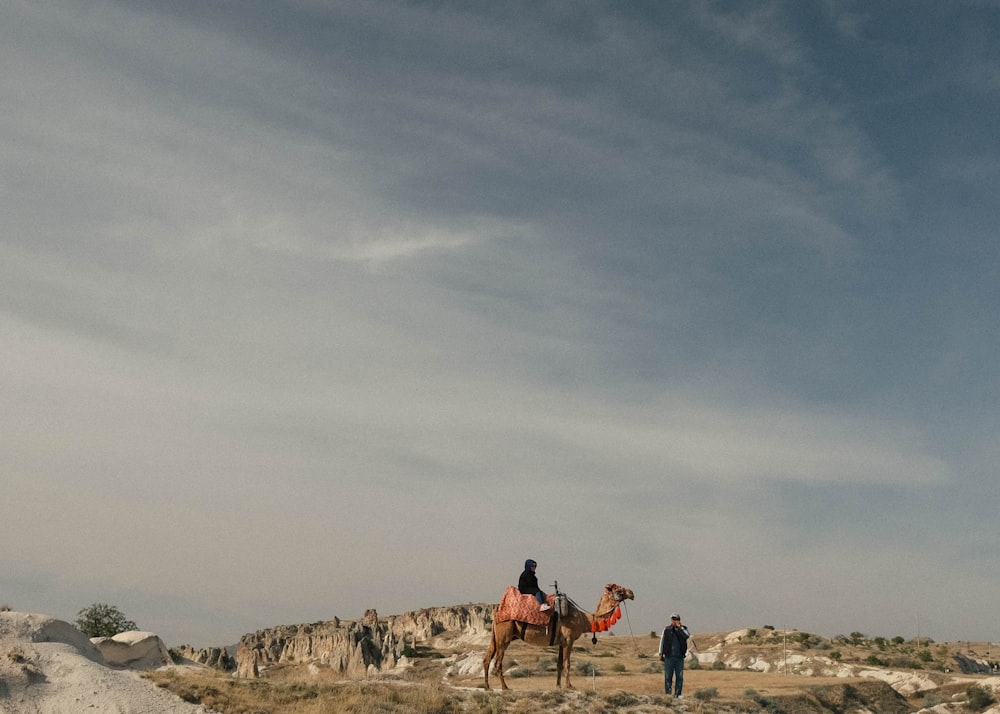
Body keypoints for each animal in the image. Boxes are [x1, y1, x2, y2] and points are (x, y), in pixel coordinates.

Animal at [482, 580, 632, 688]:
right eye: (618, 589)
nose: (631, 592)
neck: (584, 619)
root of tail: (497, 611)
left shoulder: (561, 642)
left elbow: (559, 664)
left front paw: (558, 686)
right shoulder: (569, 639)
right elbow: (567, 663)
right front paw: (570, 686)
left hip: (496, 637)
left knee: (487, 658)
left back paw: (488, 687)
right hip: (504, 636)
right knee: (497, 662)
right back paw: (505, 687)